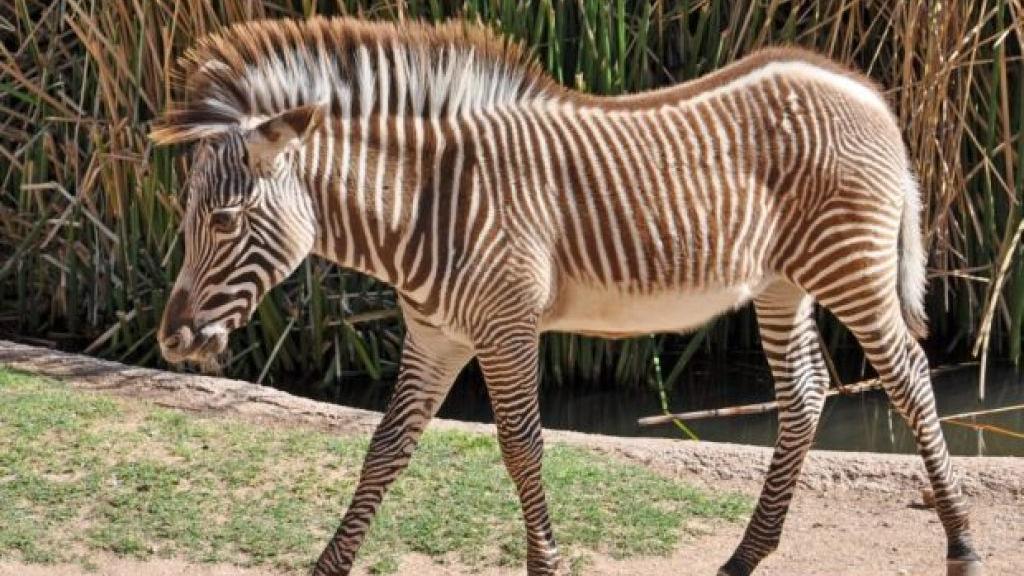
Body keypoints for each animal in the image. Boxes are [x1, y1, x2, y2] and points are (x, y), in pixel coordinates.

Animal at [151, 16, 982, 576]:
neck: (425, 203)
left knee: (909, 381)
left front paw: (545, 562)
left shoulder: (506, 327)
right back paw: (745, 555)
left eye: (223, 220)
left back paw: (963, 541)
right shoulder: (436, 336)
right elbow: (385, 450)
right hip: (783, 281)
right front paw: (329, 564)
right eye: (186, 219)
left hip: (851, 268)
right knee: (806, 394)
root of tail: (861, 88)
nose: (171, 342)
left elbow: (522, 447)